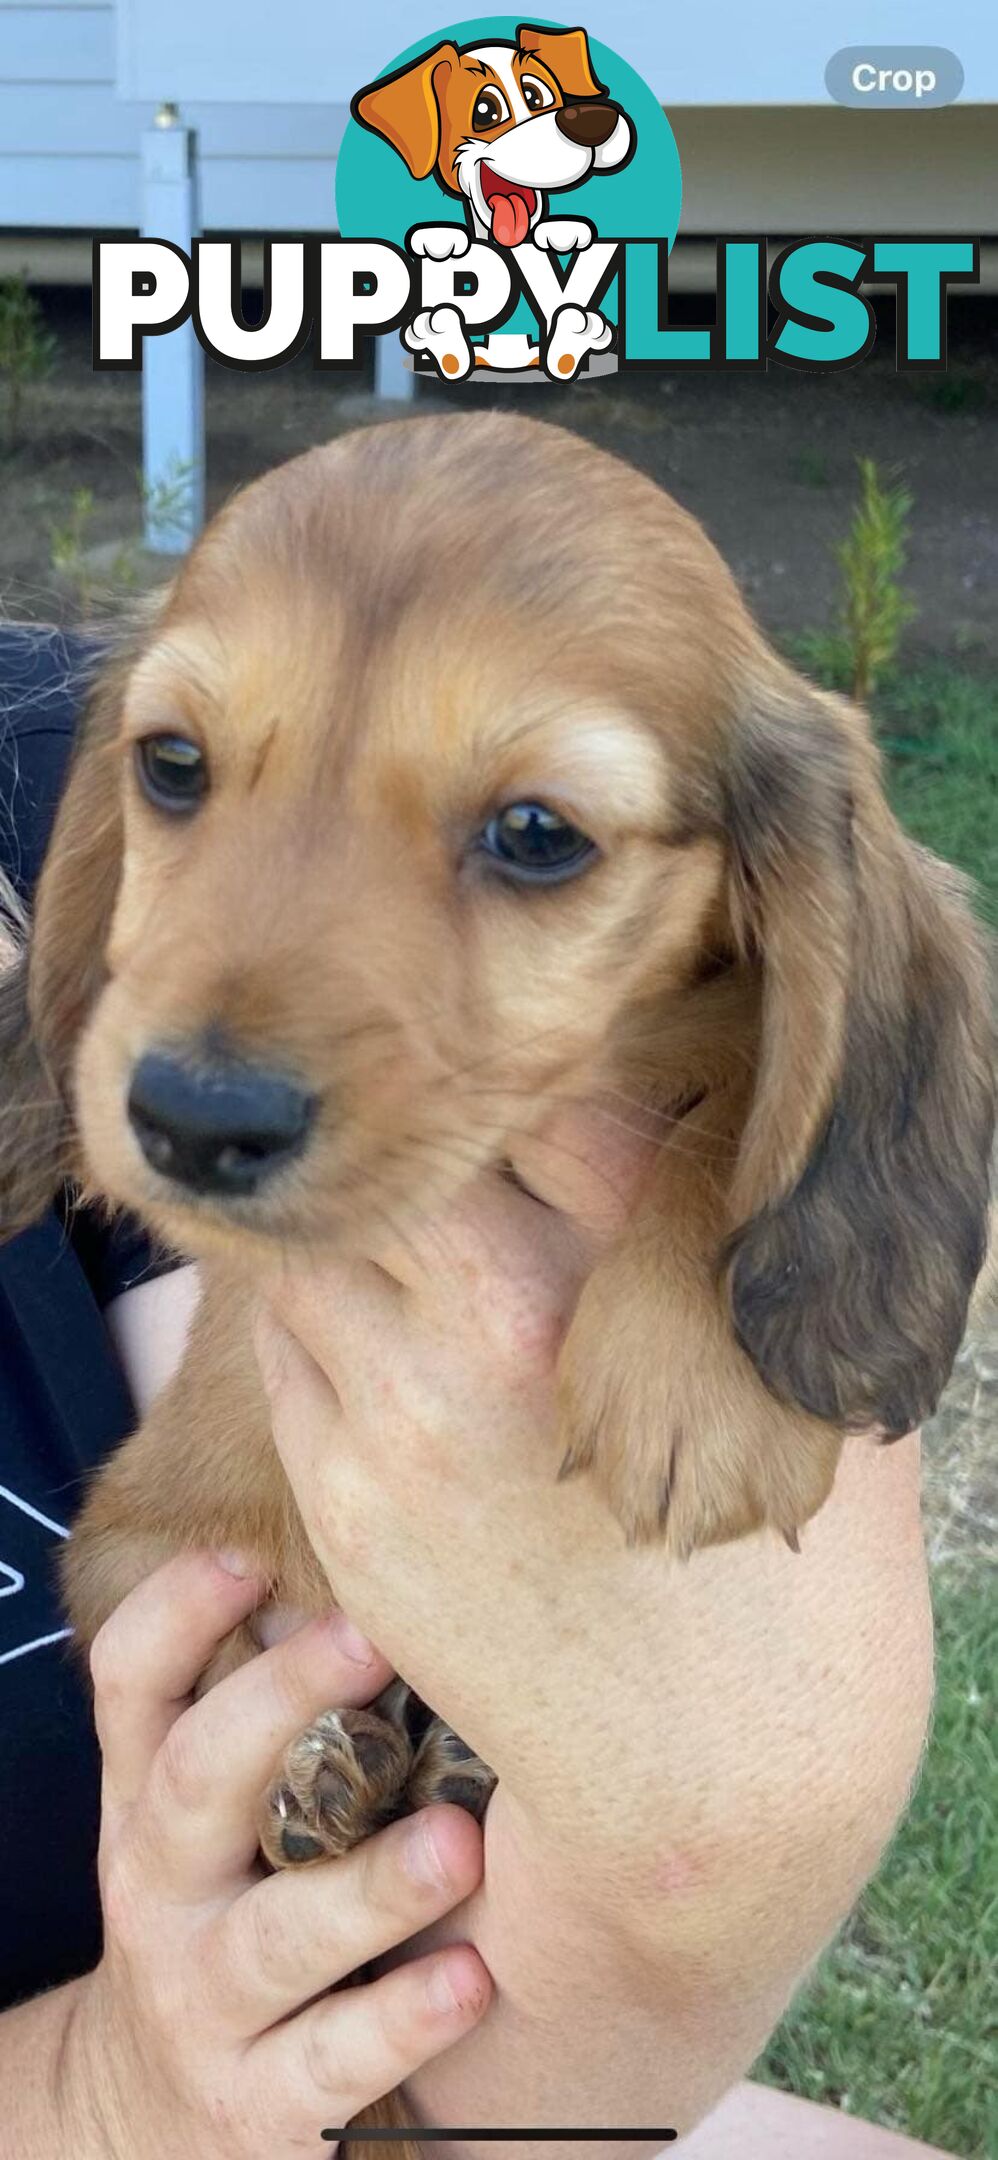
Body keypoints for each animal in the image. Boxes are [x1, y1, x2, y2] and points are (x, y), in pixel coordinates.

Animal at [0, 412, 993, 2151]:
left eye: (535, 835)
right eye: (172, 764)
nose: (189, 1120)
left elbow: (739, 1096)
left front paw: (700, 1377)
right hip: (134, 1564)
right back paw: (330, 1774)